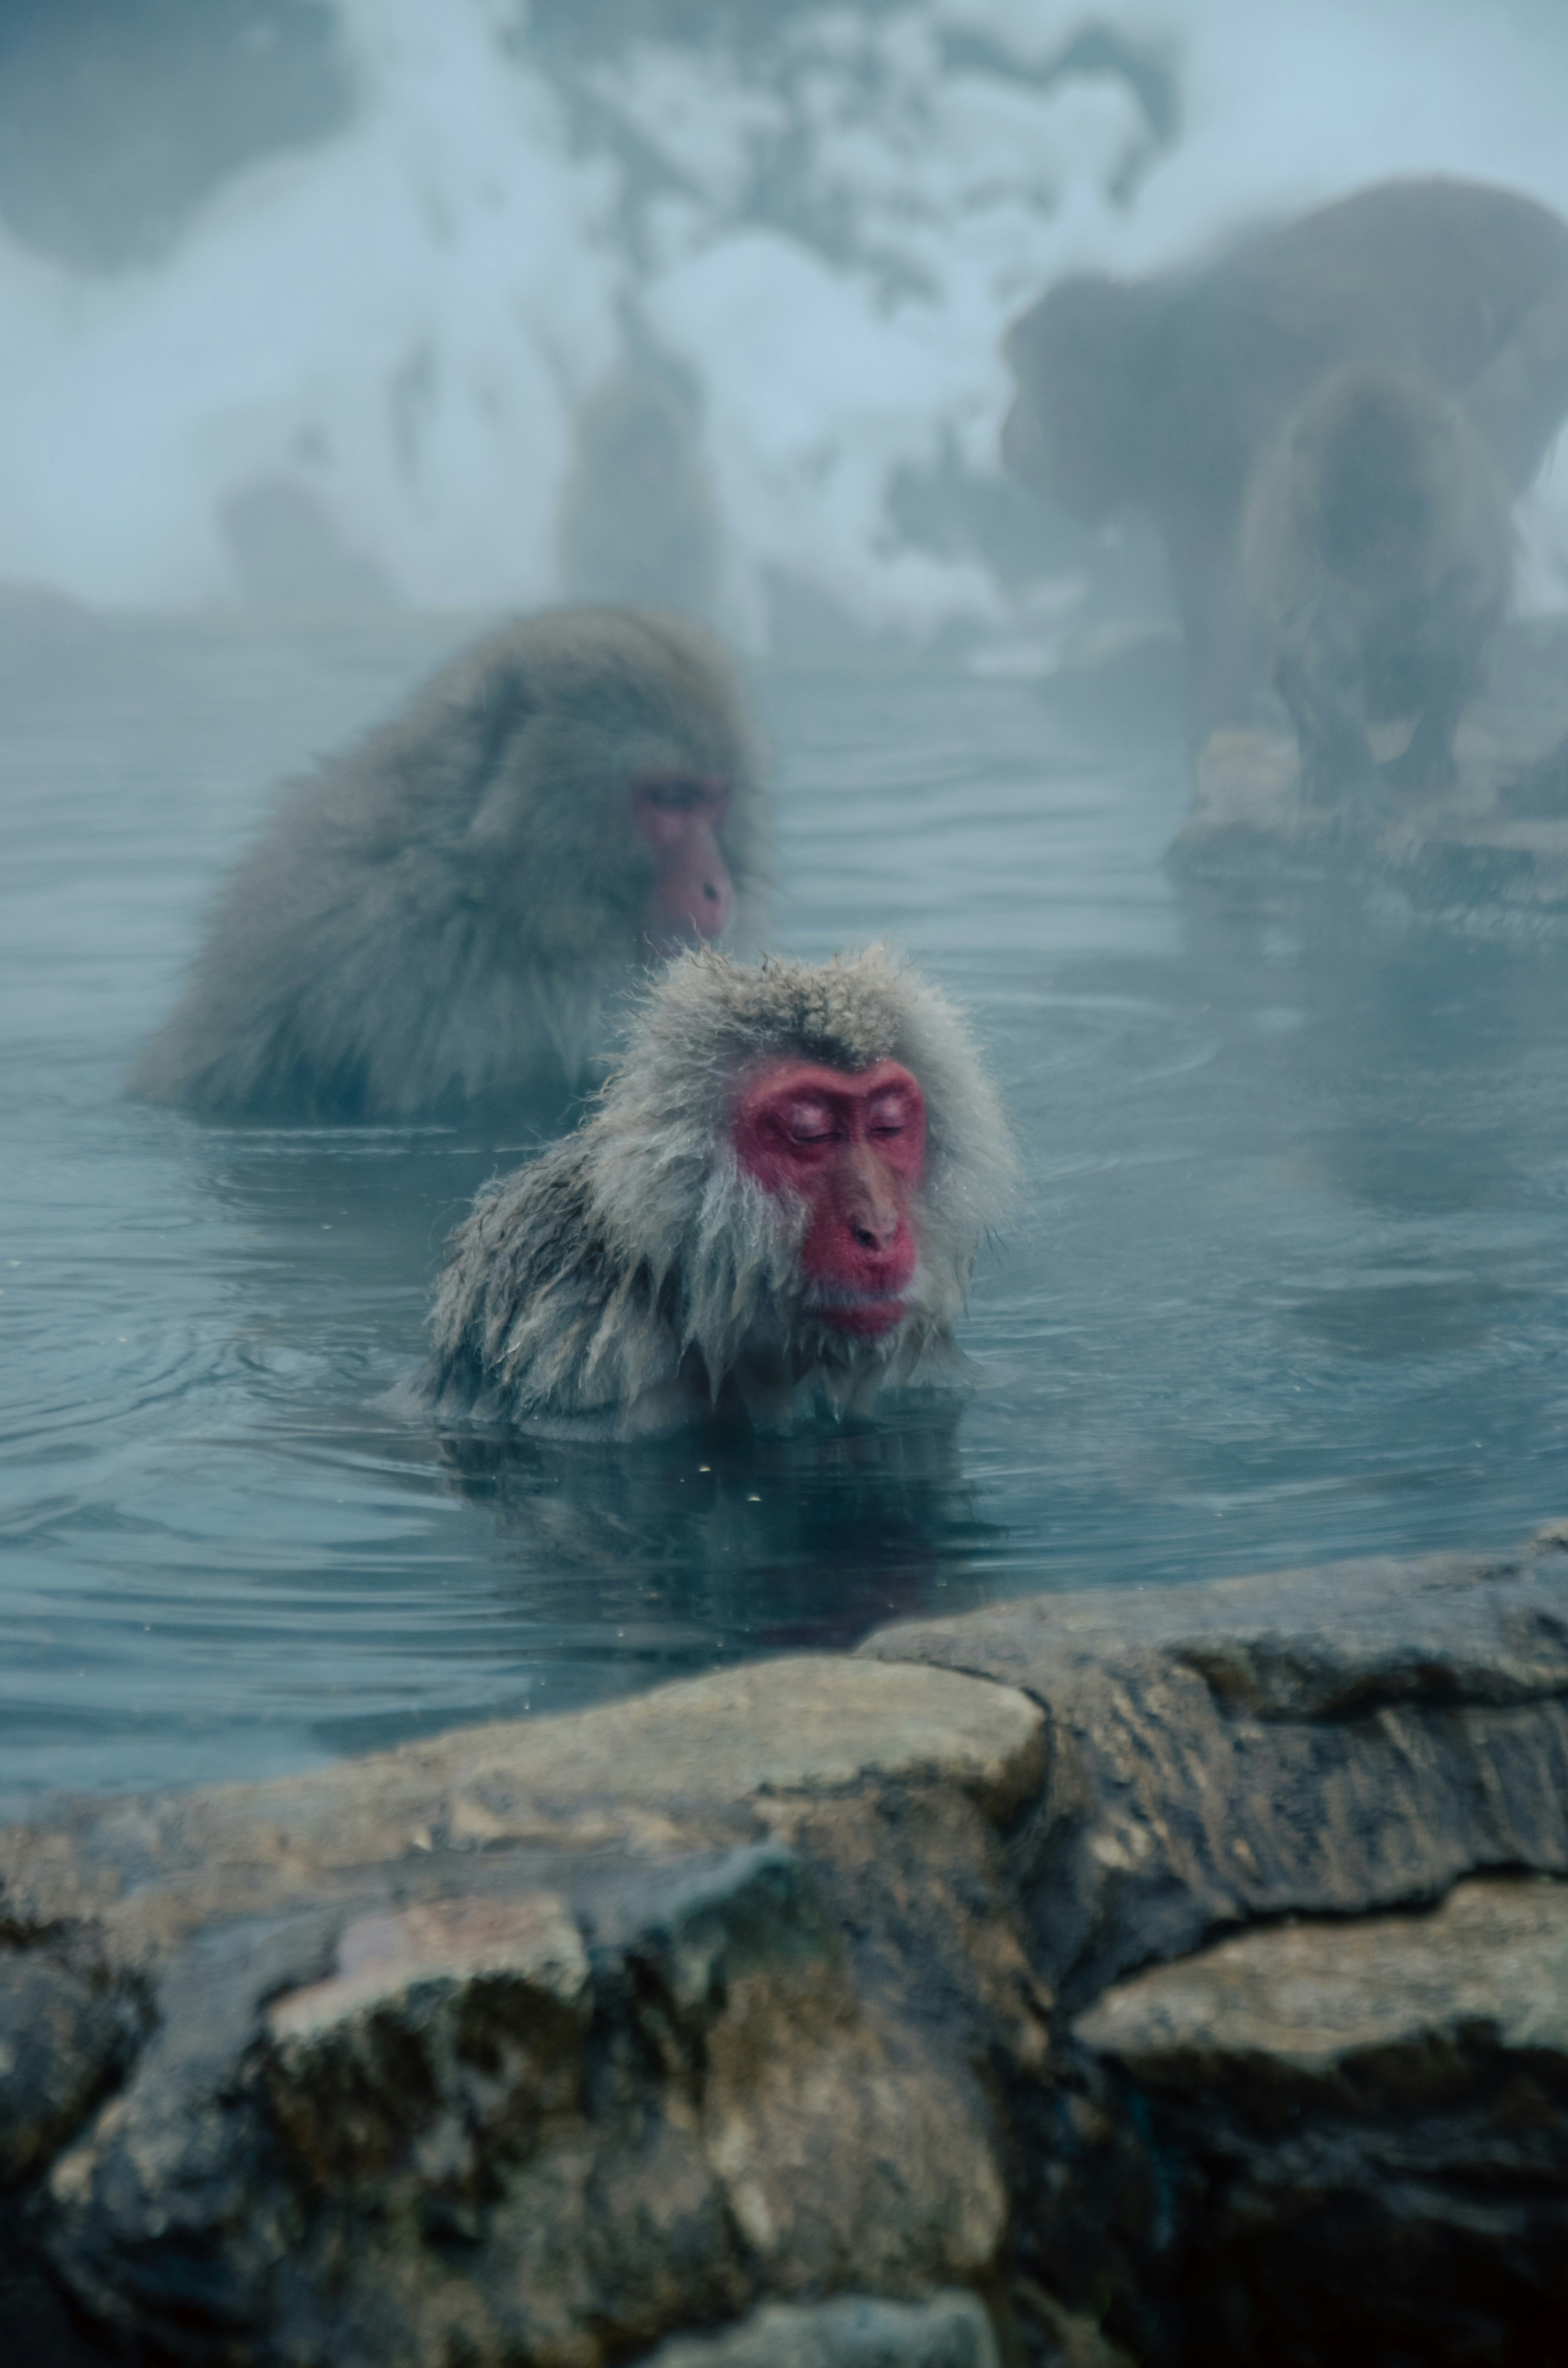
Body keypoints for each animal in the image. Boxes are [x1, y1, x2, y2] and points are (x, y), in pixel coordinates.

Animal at [1239, 365, 1513, 817]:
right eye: (1350, 519)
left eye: (1402, 509)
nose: (1381, 555)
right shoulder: (1295, 534)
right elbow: (1323, 651)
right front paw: (1359, 782)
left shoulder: (1470, 500)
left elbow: (1475, 596)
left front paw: (1442, 630)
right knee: (1291, 667)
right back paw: (1320, 763)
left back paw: (1429, 753)